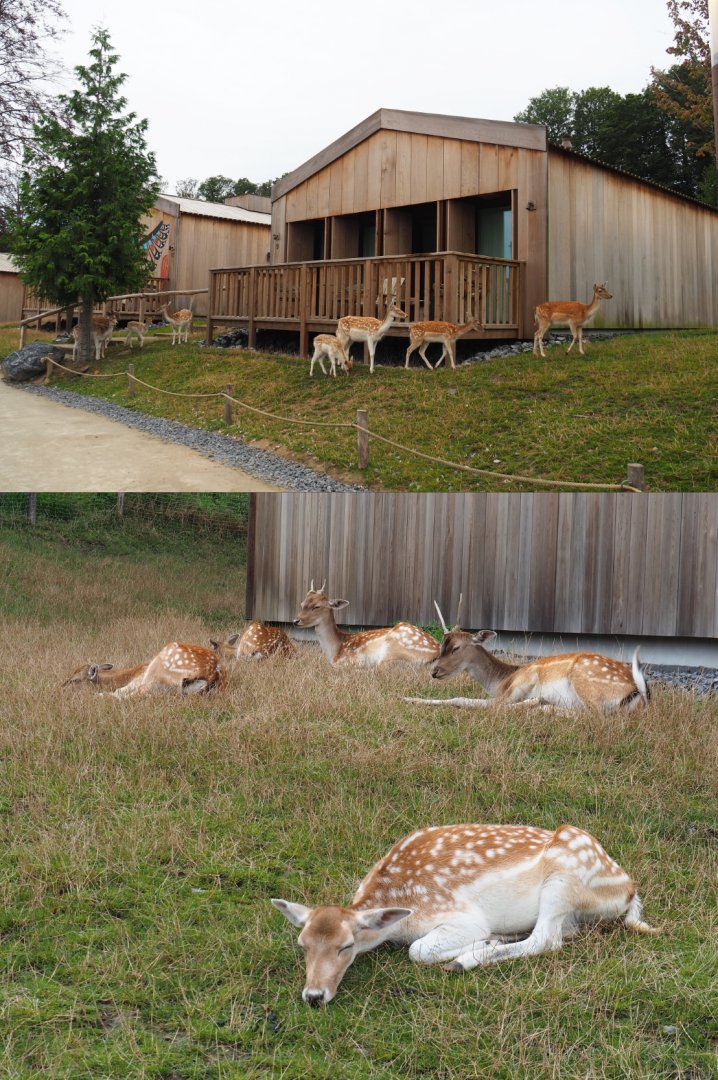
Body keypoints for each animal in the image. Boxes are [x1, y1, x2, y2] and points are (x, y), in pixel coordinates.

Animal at [272, 820, 657, 1006]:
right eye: (303, 944)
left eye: (346, 946)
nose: (314, 996)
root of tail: (628, 889)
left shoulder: (460, 917)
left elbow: (418, 950)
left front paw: (472, 947)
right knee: (563, 932)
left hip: (563, 880)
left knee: (546, 940)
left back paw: (465, 959)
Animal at [294, 581, 439, 667]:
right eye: (302, 604)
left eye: (317, 606)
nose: (296, 621)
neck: (335, 650)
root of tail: (437, 652)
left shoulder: (348, 660)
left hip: (394, 650)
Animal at [405, 598, 649, 713]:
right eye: (441, 645)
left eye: (456, 648)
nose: (434, 671)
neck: (502, 680)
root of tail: (638, 694)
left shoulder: (522, 681)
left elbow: (467, 700)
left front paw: (409, 698)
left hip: (586, 682)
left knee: (597, 717)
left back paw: (540, 706)